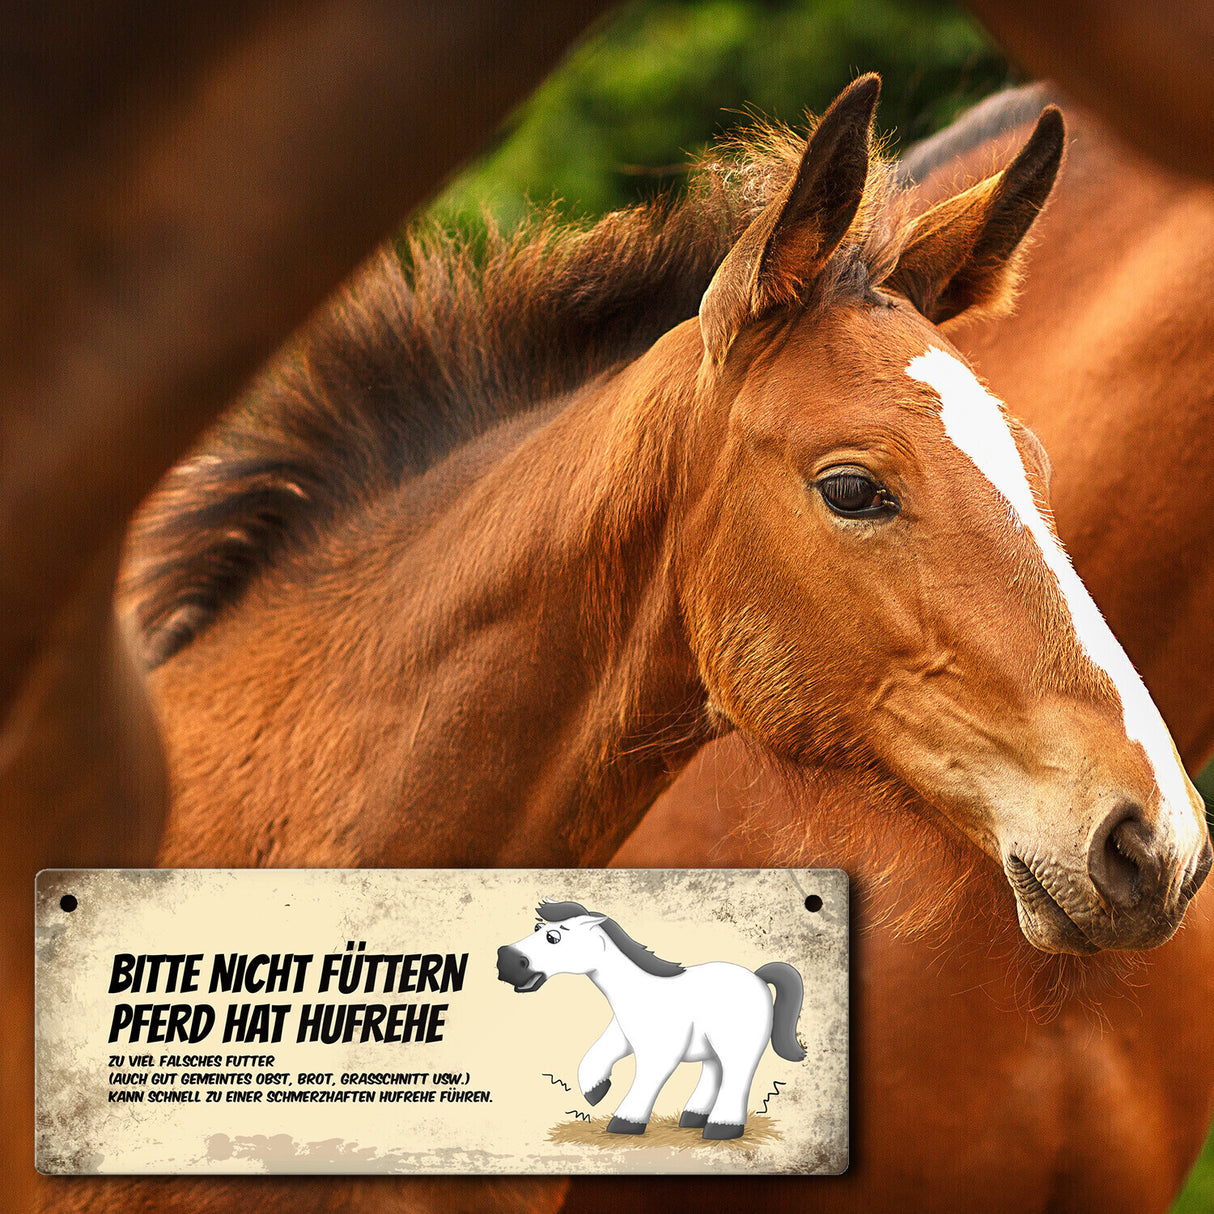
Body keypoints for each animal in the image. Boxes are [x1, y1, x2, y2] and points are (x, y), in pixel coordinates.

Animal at [497, 899, 805, 1140]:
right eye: (537, 928)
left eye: (553, 937)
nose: (507, 962)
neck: (639, 992)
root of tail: (758, 977)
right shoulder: (622, 1035)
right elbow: (593, 1057)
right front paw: (596, 1091)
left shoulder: (660, 1050)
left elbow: (647, 1079)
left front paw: (625, 1122)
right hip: (711, 1047)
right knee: (714, 1072)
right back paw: (693, 1118)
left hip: (738, 1044)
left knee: (737, 1075)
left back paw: (721, 1128)